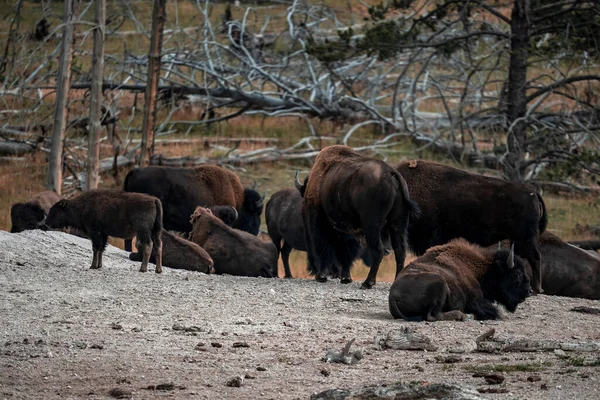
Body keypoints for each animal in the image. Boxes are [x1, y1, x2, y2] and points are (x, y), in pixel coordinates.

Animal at [264, 187, 392, 278]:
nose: (387, 250)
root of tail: (271, 199)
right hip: (275, 235)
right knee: (277, 250)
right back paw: (277, 275)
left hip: (288, 241)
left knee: (285, 253)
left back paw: (289, 276)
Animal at [302, 145, 420, 290]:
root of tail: (390, 172)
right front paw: (345, 278)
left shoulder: (322, 226)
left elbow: (324, 247)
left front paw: (322, 276)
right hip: (398, 222)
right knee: (400, 250)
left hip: (372, 224)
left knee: (378, 250)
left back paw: (367, 282)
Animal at [386, 238, 532, 322]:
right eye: (518, 273)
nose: (529, 291)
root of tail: (393, 295)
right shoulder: (476, 300)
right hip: (440, 282)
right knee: (433, 316)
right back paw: (462, 315)